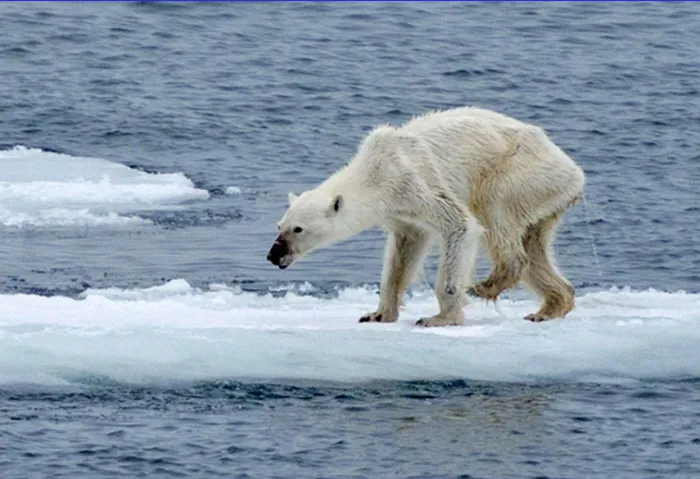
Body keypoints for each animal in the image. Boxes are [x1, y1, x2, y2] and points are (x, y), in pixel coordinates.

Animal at [267, 106, 585, 327]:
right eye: (279, 225)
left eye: (298, 229)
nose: (273, 255)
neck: (375, 171)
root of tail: (574, 171)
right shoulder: (400, 211)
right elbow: (403, 252)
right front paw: (377, 314)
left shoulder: (414, 181)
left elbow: (460, 225)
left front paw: (439, 318)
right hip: (544, 197)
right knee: (534, 246)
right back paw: (549, 307)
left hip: (520, 173)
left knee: (496, 212)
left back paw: (487, 285)